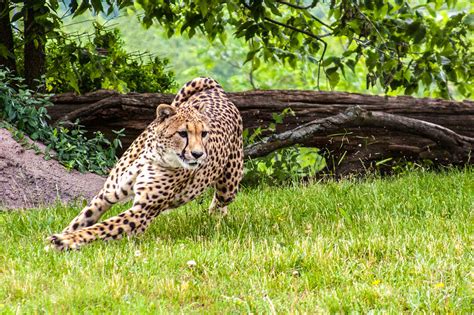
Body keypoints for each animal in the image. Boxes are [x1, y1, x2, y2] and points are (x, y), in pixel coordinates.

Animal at [47, 77, 244, 252]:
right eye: (183, 133)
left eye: (204, 134)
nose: (198, 154)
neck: (152, 156)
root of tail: (217, 93)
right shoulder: (106, 195)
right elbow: (82, 219)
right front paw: (61, 237)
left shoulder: (144, 211)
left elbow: (101, 228)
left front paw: (65, 241)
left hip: (229, 187)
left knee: (221, 201)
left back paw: (215, 218)